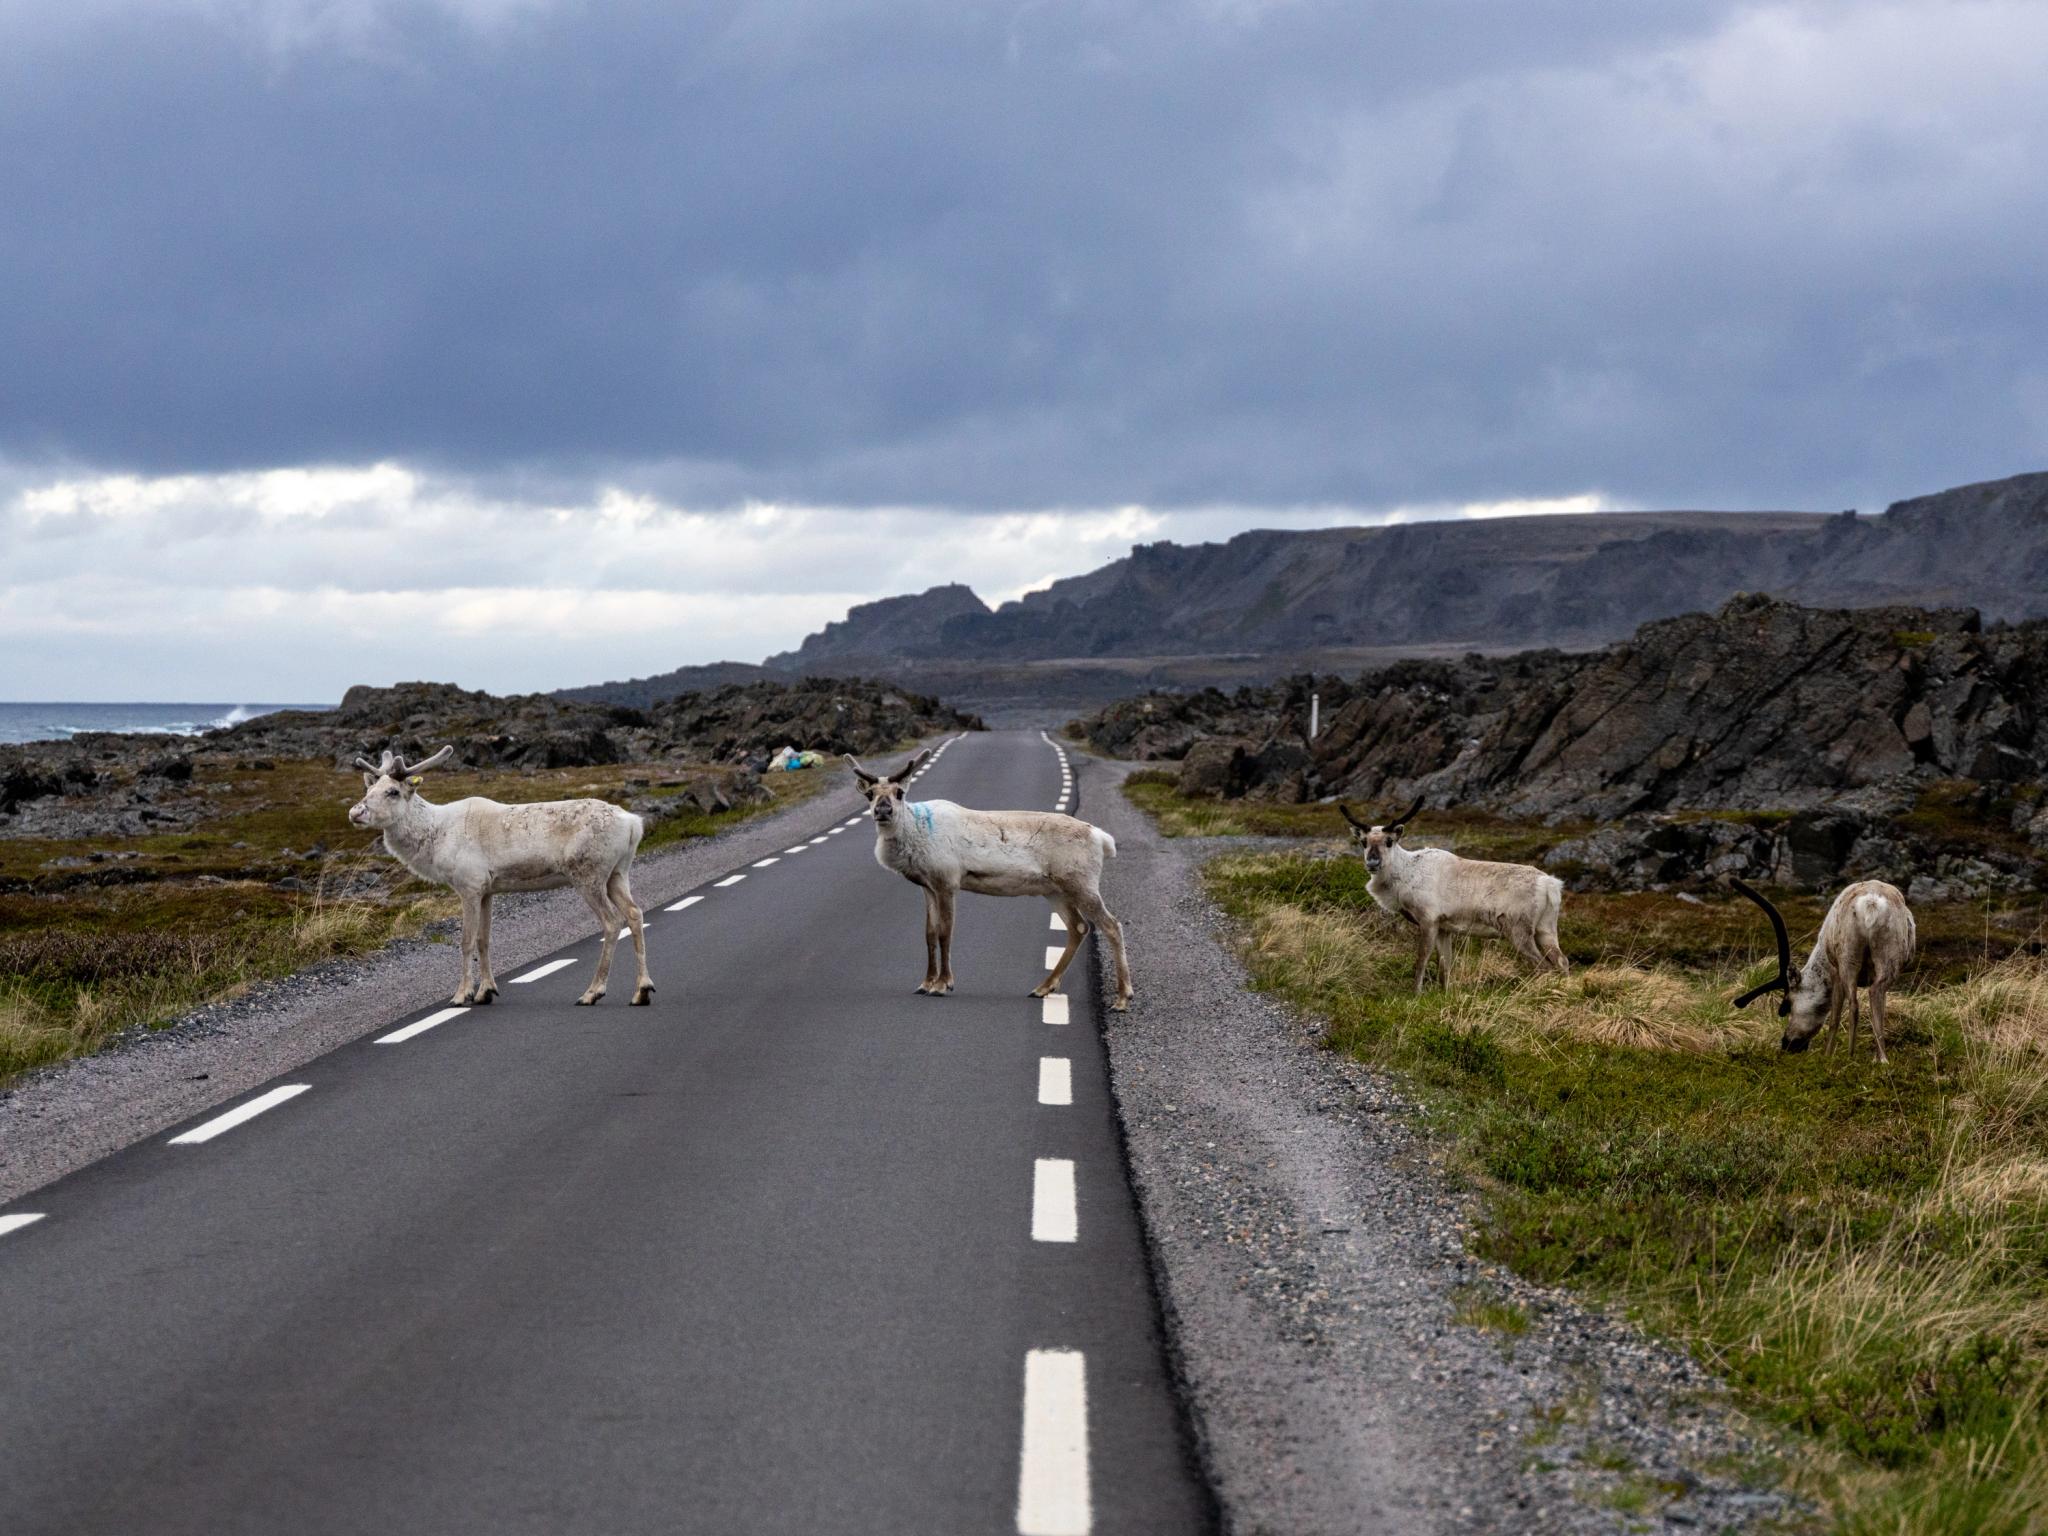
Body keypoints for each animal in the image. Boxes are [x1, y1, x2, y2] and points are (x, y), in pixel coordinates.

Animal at [348, 746, 653, 1008]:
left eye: (392, 791)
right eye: (368, 788)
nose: (355, 812)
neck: (436, 839)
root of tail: (634, 824)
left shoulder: (469, 885)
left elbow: (466, 941)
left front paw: (461, 995)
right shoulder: (487, 889)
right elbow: (484, 940)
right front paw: (486, 991)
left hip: (589, 874)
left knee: (612, 921)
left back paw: (593, 992)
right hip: (617, 873)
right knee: (634, 912)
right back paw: (642, 990)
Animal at [848, 750, 1134, 1010]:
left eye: (899, 792)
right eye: (870, 794)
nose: (882, 810)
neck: (914, 833)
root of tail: (1102, 838)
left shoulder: (947, 882)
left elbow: (945, 932)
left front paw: (943, 984)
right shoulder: (927, 886)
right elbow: (928, 933)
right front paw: (925, 983)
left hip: (1082, 883)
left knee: (1111, 925)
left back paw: (1122, 998)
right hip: (1056, 890)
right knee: (1079, 927)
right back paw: (1043, 988)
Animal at [1340, 796, 1568, 992]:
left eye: (1389, 841)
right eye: (1363, 842)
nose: (1372, 862)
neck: (1405, 875)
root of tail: (1551, 884)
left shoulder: (1428, 919)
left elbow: (1421, 959)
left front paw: (1416, 993)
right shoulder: (1444, 927)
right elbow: (1445, 965)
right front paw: (1444, 993)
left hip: (1518, 929)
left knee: (1543, 966)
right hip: (1546, 928)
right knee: (1562, 961)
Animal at [1728, 876, 1916, 1062]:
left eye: (1787, 1005)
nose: (1787, 1043)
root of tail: (1871, 904)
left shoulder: (1834, 971)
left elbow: (1834, 1016)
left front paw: (1827, 1054)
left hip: (1848, 958)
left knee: (1854, 1005)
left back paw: (1849, 1056)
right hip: (1888, 959)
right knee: (1875, 993)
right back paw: (1881, 1059)